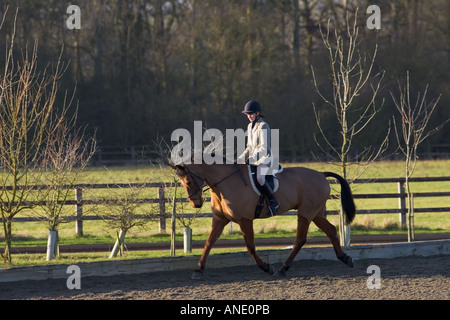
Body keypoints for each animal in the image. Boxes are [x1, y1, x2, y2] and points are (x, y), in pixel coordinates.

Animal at [171, 161, 356, 278]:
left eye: (188, 181)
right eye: (180, 182)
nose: (195, 204)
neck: (224, 185)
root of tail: (321, 174)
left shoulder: (245, 220)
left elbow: (250, 247)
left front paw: (267, 268)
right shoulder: (219, 219)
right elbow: (209, 243)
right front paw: (198, 270)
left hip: (306, 213)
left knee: (300, 239)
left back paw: (282, 269)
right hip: (315, 213)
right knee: (331, 230)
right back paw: (345, 258)